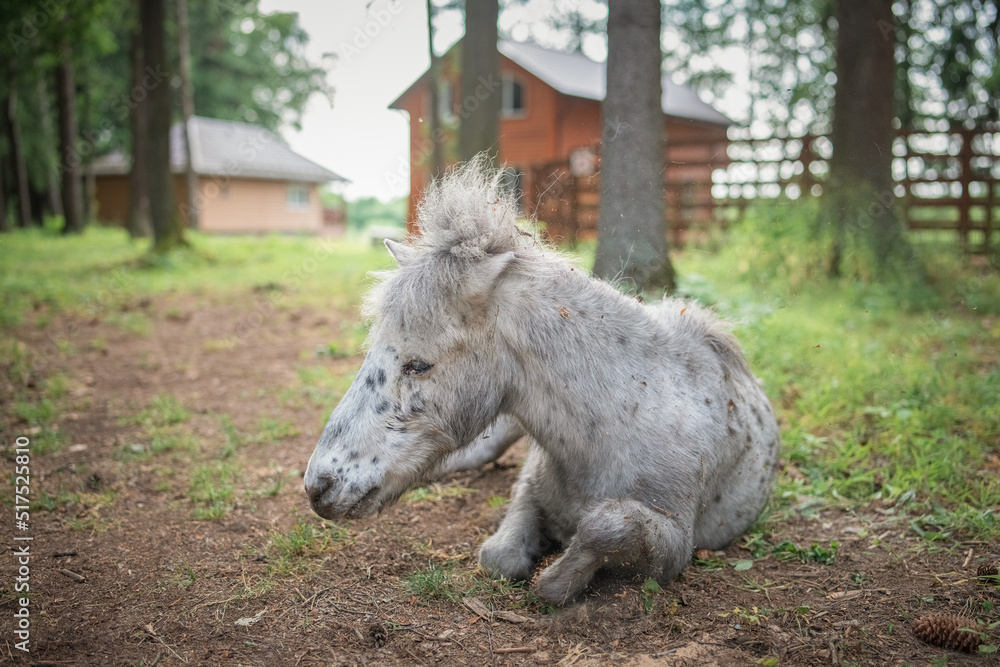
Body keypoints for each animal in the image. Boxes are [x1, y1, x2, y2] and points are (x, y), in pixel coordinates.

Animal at [304, 158, 780, 604]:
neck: (623, 420)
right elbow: (500, 555)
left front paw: (561, 577)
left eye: (418, 365)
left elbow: (606, 526)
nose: (318, 486)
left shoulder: (677, 542)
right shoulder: (529, 489)